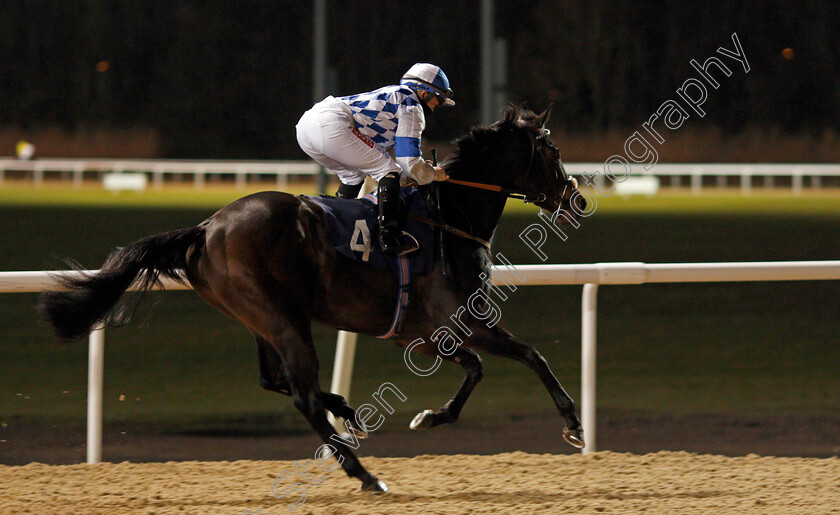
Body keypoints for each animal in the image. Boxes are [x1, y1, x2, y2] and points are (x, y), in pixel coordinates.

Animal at [39, 103, 588, 494]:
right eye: (553, 153)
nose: (578, 198)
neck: (450, 216)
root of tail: (206, 227)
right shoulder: (454, 321)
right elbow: (529, 356)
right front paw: (573, 424)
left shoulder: (422, 332)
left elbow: (477, 368)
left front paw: (430, 416)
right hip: (281, 318)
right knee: (299, 391)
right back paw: (364, 473)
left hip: (260, 317)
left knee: (273, 379)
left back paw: (344, 410)